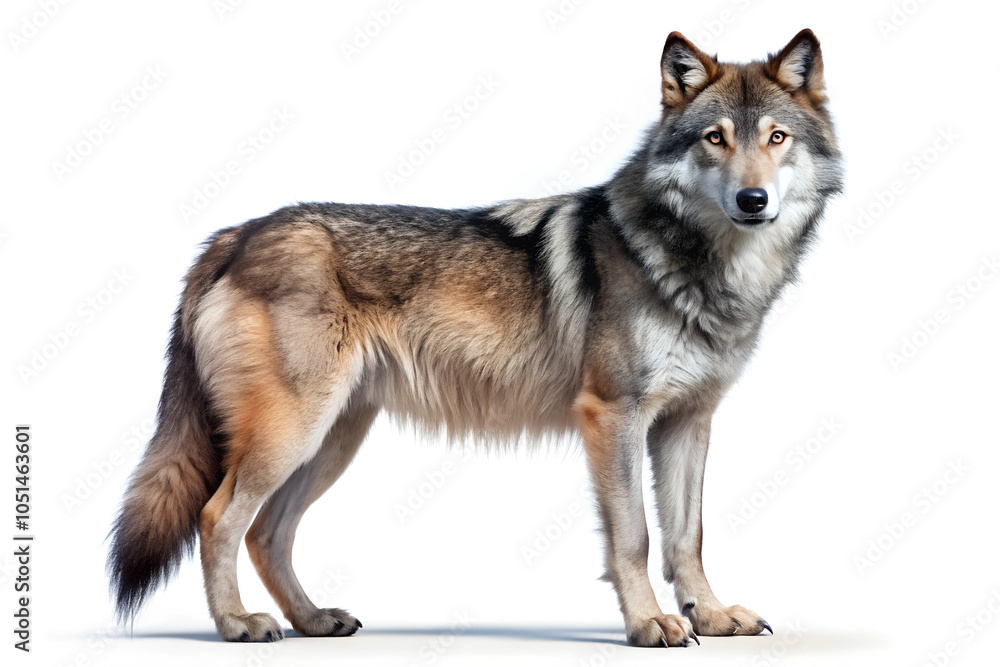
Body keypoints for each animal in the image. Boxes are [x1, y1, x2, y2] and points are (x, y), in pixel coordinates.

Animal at [108, 29, 842, 648]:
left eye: (776, 138)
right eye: (715, 139)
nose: (753, 201)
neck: (697, 268)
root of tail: (233, 235)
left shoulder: (689, 422)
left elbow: (688, 536)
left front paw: (710, 616)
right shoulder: (614, 416)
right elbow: (633, 537)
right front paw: (649, 624)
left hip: (330, 440)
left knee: (267, 533)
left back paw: (312, 620)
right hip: (292, 435)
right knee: (218, 518)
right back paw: (238, 623)